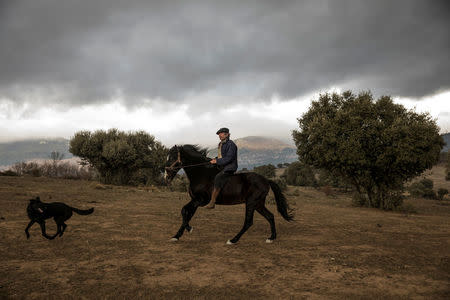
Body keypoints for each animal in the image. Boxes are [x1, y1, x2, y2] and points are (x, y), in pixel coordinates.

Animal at [163, 144, 294, 245]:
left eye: (173, 157)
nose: (166, 176)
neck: (201, 174)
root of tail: (266, 180)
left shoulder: (201, 200)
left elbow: (184, 211)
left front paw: (189, 229)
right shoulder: (195, 200)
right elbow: (186, 213)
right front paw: (177, 235)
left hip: (251, 202)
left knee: (248, 222)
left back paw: (232, 240)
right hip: (258, 204)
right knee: (270, 216)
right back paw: (271, 238)